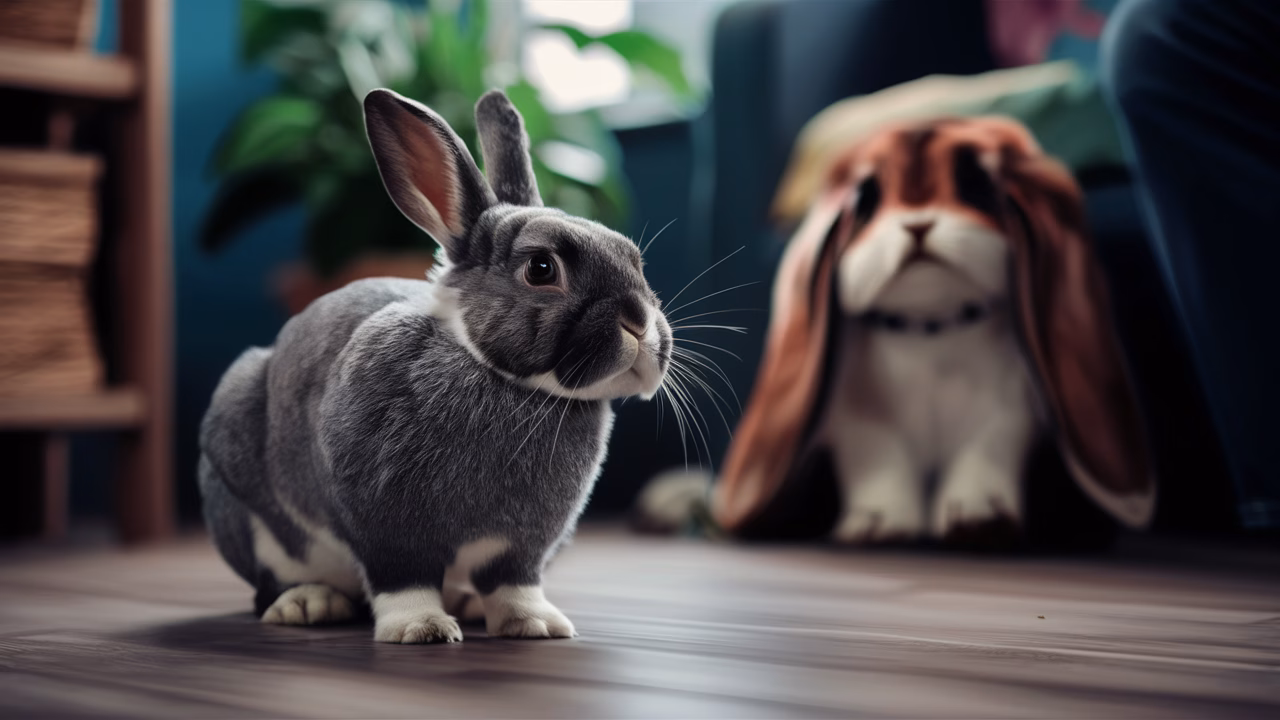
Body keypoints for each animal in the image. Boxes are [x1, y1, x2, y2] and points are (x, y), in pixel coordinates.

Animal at [198, 88, 673, 643]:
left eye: (635, 260)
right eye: (541, 269)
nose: (639, 322)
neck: (507, 381)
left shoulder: (521, 545)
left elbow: (512, 582)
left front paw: (535, 624)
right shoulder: (386, 525)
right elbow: (402, 578)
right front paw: (420, 629)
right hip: (242, 503)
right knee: (269, 582)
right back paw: (308, 604)